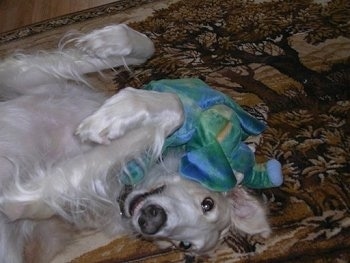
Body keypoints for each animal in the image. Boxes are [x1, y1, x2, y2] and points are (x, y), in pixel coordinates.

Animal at [0, 25, 270, 263]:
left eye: (184, 245)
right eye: (207, 204)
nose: (151, 222)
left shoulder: (20, 200)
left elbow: (174, 110)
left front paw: (111, 119)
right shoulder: (21, 80)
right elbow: (149, 52)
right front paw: (105, 42)